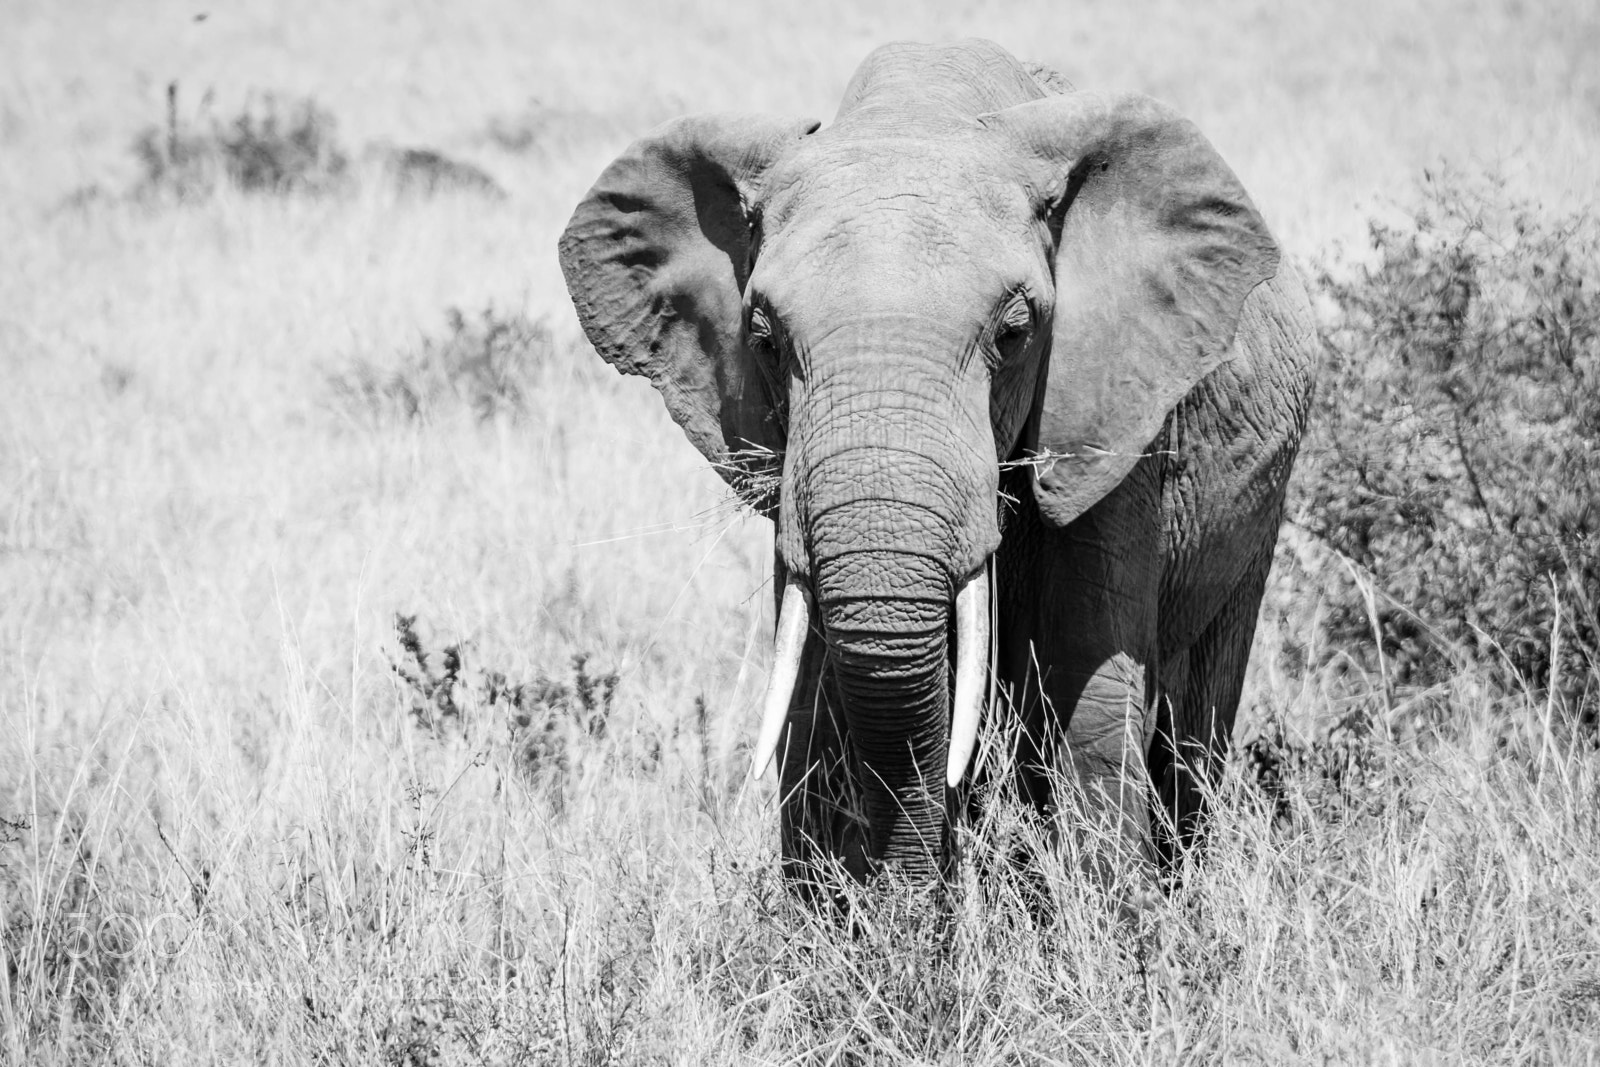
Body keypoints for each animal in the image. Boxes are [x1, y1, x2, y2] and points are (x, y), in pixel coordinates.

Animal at [558, 39, 1317, 892]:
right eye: (763, 339)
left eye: (1015, 333)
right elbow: (815, 699)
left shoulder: (1114, 420)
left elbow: (1084, 686)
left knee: (1196, 724)